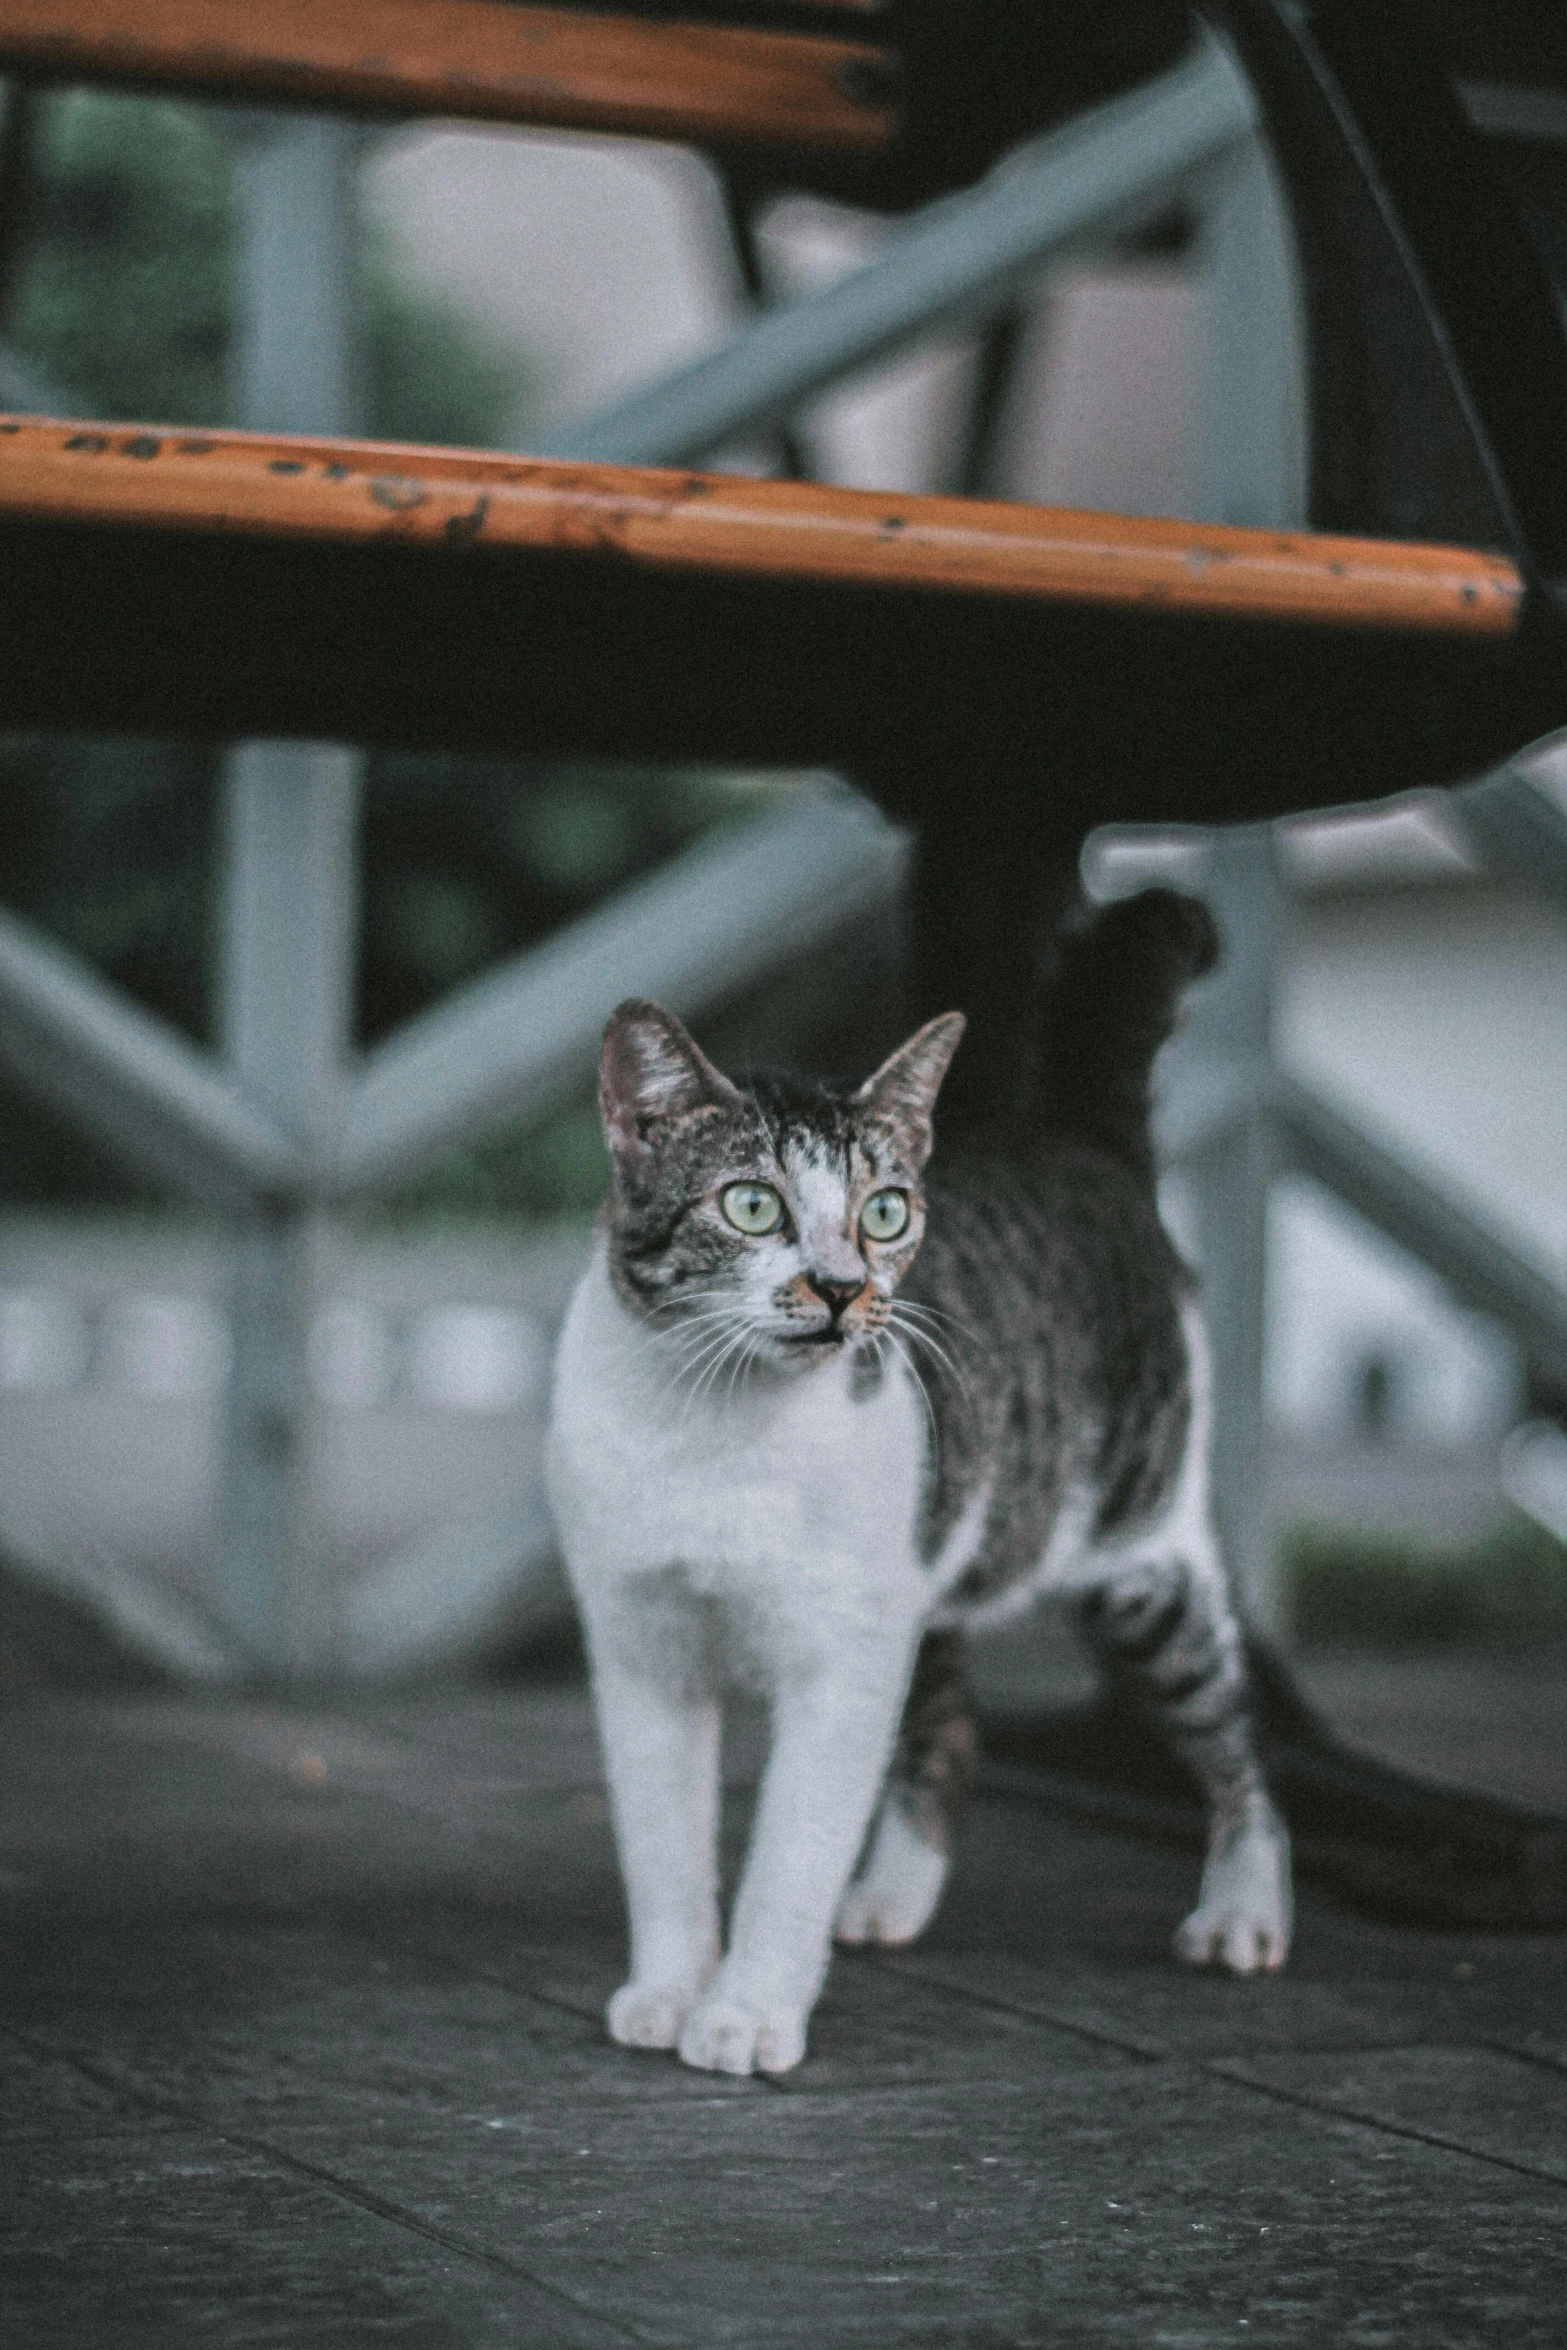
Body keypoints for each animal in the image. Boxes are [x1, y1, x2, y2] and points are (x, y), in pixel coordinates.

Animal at [545, 883, 1296, 2077]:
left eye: (884, 1211)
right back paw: (889, 1896)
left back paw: (1242, 1910)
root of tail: (1086, 1149)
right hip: (923, 1573)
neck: (719, 1429)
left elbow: (792, 1849)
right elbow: (662, 1847)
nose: (841, 1286)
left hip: (1145, 1565)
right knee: (950, 1726)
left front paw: (747, 2013)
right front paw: (667, 1989)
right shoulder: (640, 1647)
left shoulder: (837, 1660)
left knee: (1233, 1733)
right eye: (750, 1206)